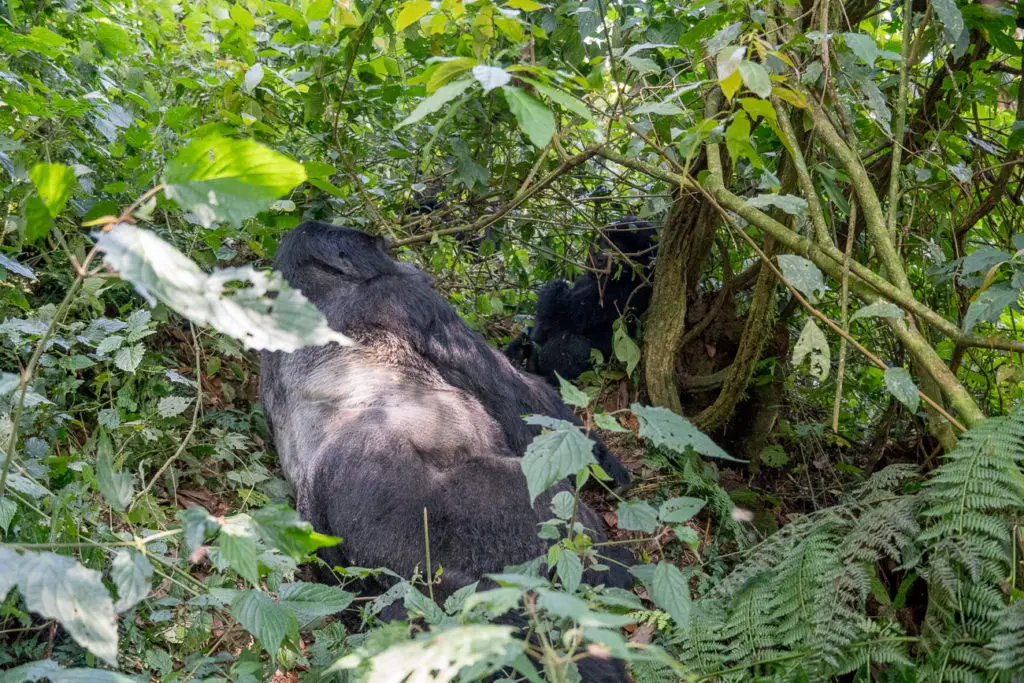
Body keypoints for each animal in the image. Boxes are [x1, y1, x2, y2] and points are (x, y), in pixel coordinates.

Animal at [503, 216, 655, 382]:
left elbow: (561, 312)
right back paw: (516, 356)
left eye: (617, 248)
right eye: (602, 243)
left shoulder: (629, 288)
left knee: (570, 341)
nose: (598, 257)